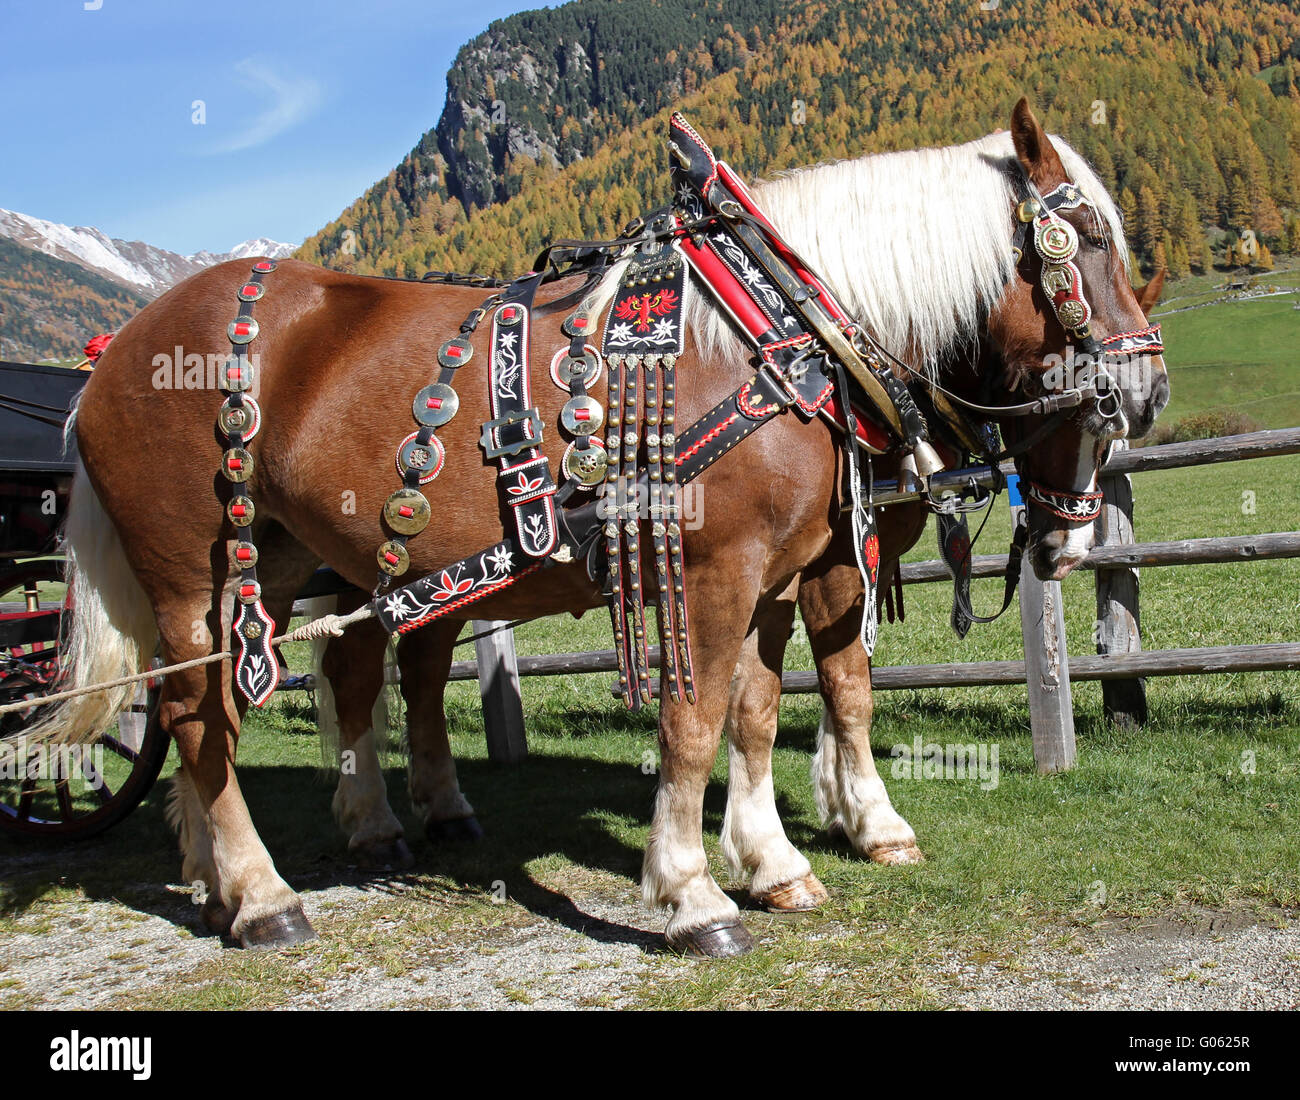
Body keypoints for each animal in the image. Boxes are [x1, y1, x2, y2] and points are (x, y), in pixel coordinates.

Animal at [27, 98, 1170, 956]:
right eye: (1086, 241)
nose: (1146, 390)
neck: (785, 324)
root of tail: (113, 352)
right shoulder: (716, 572)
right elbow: (698, 720)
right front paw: (693, 892)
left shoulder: (782, 570)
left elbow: (773, 708)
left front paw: (780, 858)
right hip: (191, 573)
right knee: (198, 713)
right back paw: (260, 893)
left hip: (290, 561)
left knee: (310, 684)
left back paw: (278, 854)